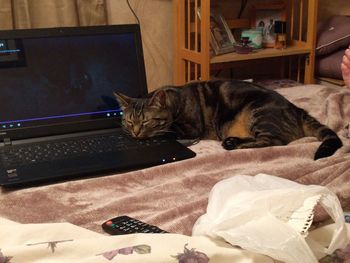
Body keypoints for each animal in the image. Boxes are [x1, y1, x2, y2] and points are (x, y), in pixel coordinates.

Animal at [114, 79, 342, 160]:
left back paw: (232, 145)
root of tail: (296, 108)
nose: (135, 132)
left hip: (258, 113)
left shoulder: (191, 128)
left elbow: (167, 133)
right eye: (129, 121)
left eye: (145, 121)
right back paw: (232, 141)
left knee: (273, 141)